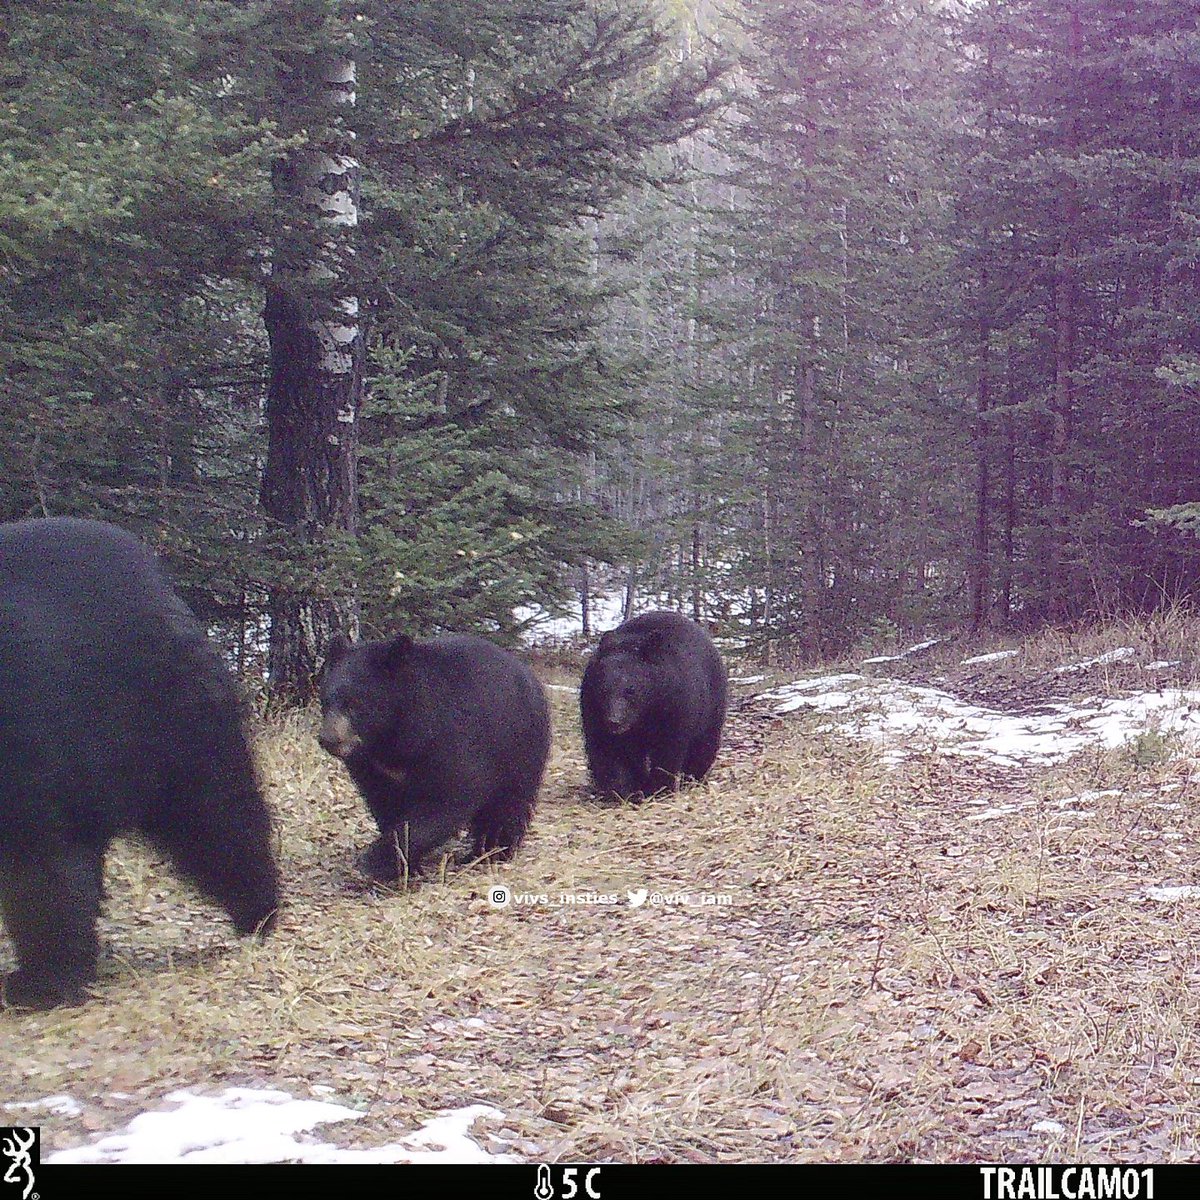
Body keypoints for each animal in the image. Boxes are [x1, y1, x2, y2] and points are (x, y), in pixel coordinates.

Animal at [317, 631, 551, 884]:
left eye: (355, 704)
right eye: (326, 700)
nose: (327, 738)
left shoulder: (450, 742)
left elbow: (446, 800)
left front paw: (374, 861)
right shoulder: (373, 766)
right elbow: (384, 804)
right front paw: (404, 865)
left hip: (518, 747)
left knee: (508, 804)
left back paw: (492, 851)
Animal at [580, 610, 728, 802]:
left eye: (630, 690)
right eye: (603, 689)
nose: (614, 721)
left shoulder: (675, 705)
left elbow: (668, 751)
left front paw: (659, 788)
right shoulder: (593, 706)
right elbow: (606, 749)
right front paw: (622, 790)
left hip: (711, 706)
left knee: (704, 744)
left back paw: (693, 778)